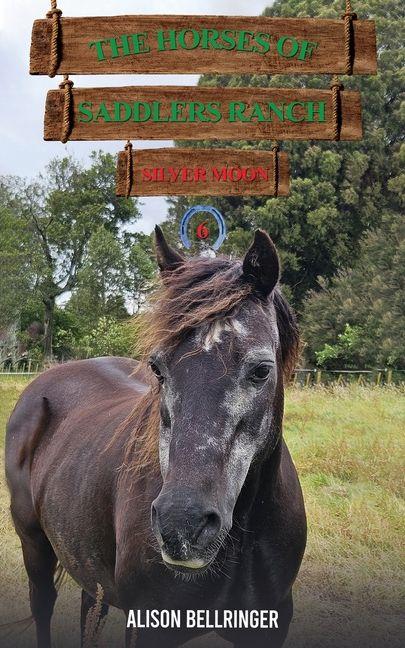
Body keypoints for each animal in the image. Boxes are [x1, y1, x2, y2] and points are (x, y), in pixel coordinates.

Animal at [5, 227, 306, 648]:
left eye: (262, 370)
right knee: (42, 606)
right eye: (157, 368)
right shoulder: (150, 627)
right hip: (33, 544)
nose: (183, 525)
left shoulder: (270, 627)